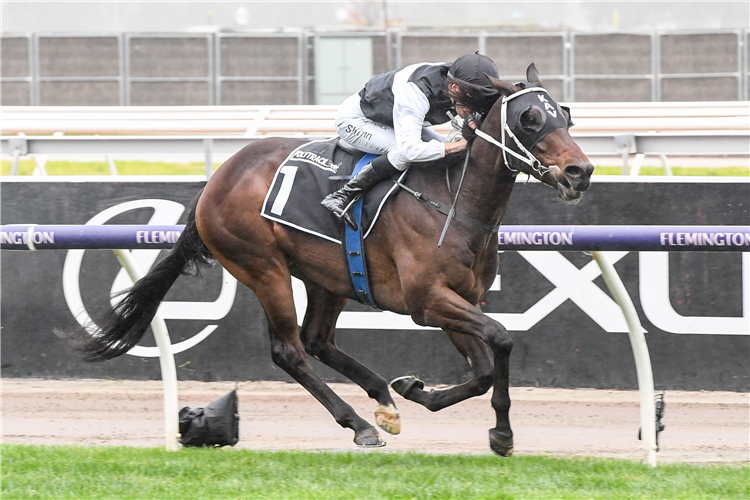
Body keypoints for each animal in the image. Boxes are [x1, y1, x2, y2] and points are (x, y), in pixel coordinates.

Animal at [66, 64, 592, 456]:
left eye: (564, 114)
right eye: (529, 118)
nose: (580, 171)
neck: (453, 200)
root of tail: (219, 178)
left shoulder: (457, 299)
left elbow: (483, 368)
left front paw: (418, 392)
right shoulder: (428, 301)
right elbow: (501, 339)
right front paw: (501, 434)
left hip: (328, 276)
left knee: (318, 339)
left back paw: (383, 398)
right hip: (264, 269)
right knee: (291, 350)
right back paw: (359, 423)